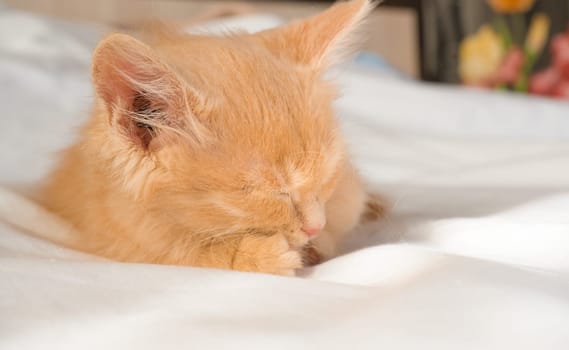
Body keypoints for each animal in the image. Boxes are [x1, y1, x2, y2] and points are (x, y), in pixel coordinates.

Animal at [40, 0, 382, 276]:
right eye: (268, 193)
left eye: (328, 175)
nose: (315, 226)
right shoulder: (111, 229)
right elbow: (177, 253)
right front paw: (254, 255)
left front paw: (321, 240)